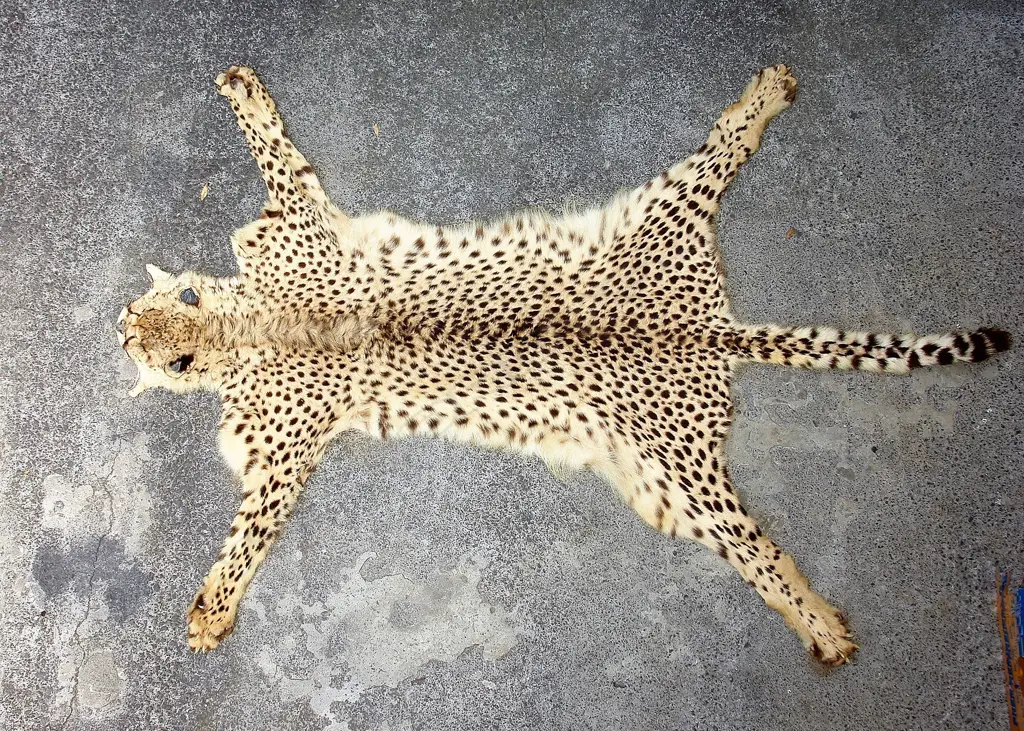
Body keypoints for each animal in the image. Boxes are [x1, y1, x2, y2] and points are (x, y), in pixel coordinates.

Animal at [117, 64, 1010, 666]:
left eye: (157, 335)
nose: (121, 329)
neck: (245, 324)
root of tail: (707, 328)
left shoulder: (281, 437)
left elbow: (246, 537)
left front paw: (211, 609)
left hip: (677, 452)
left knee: (755, 548)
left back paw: (818, 621)